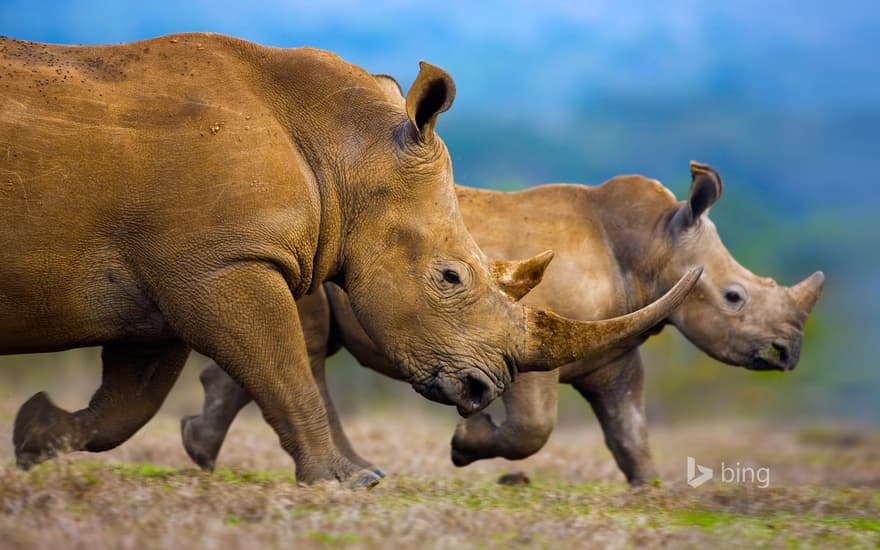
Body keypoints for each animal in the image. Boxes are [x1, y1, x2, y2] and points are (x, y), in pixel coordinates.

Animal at [180, 161, 824, 488]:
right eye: (734, 296)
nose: (787, 353)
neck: (652, 245)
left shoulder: (614, 352)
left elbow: (629, 423)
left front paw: (650, 491)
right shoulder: (531, 337)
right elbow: (534, 428)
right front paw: (465, 446)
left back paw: (200, 452)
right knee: (306, 345)